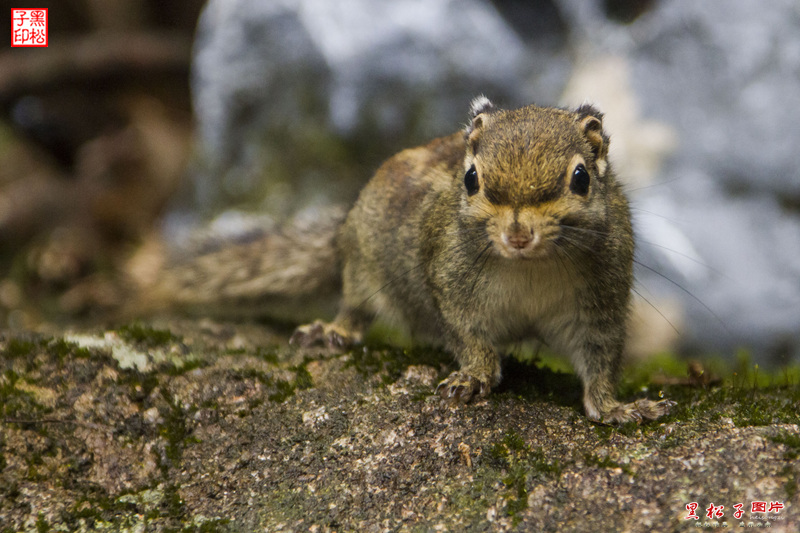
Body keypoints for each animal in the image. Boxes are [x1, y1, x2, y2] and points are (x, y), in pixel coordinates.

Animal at [139, 94, 676, 420]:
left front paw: (615, 407)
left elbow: (600, 360)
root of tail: (343, 231)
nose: (518, 234)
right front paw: (475, 376)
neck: (531, 267)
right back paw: (333, 331)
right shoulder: (450, 287)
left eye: (581, 178)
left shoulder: (600, 305)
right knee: (355, 306)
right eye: (471, 179)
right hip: (363, 268)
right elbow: (468, 337)